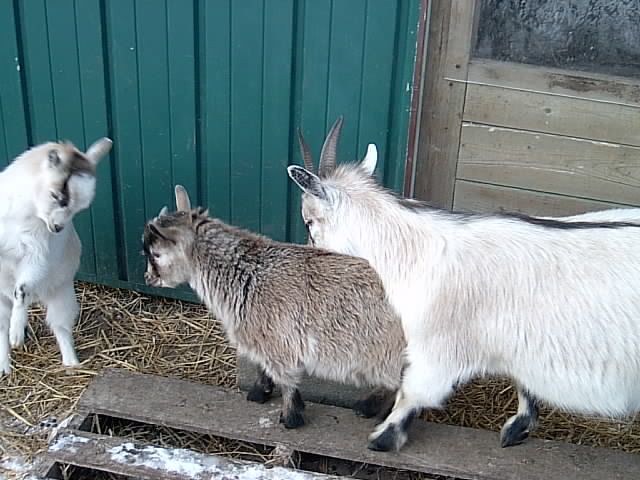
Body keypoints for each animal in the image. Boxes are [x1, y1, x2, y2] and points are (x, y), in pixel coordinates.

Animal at [0, 138, 112, 375]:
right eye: (56, 196)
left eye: (78, 209)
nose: (58, 228)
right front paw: (16, 334)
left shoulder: (37, 256)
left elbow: (22, 288)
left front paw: (18, 333)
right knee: (2, 327)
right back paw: (4, 366)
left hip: (62, 295)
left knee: (60, 327)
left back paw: (71, 363)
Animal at [142, 185, 405, 429]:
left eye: (156, 254)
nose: (148, 278)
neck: (248, 274)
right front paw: (262, 393)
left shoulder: (278, 343)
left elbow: (286, 381)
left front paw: (290, 417)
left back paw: (372, 409)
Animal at [287, 117, 640, 452]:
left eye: (309, 222)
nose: (309, 256)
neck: (415, 252)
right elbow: (523, 382)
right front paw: (519, 427)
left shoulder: (437, 347)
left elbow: (412, 392)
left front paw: (383, 438)